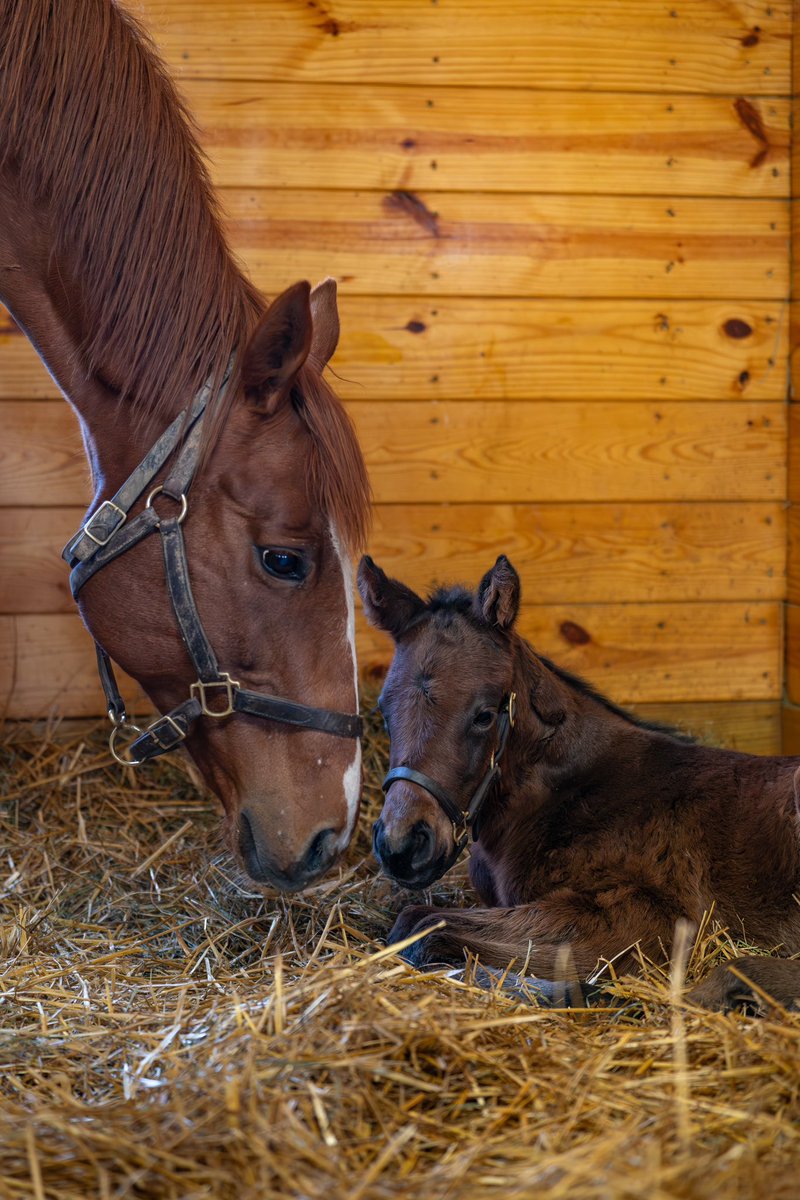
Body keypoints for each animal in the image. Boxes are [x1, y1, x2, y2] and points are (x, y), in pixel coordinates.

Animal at [358, 554, 800, 1011]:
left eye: (484, 715)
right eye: (383, 711)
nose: (402, 845)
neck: (572, 791)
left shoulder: (645, 916)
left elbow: (419, 929)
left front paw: (565, 990)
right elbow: (419, 922)